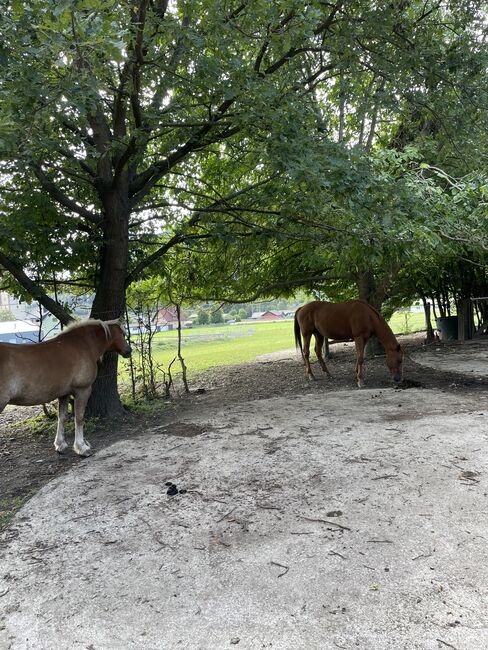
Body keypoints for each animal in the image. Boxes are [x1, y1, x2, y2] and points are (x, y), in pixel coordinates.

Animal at [0, 318, 132, 456]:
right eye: (122, 334)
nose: (129, 350)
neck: (83, 344)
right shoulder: (83, 390)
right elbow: (79, 418)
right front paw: (82, 447)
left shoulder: (64, 393)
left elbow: (62, 418)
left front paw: (60, 444)